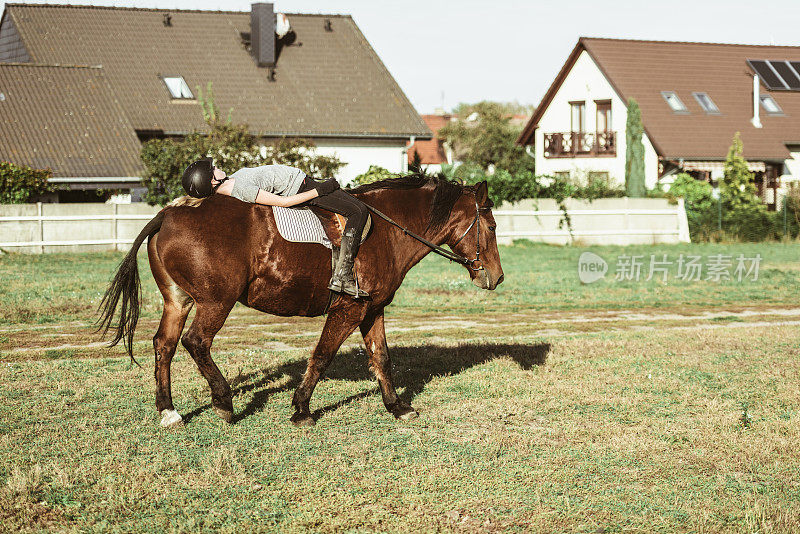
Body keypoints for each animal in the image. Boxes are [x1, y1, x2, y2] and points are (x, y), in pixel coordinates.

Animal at [97, 176, 504, 428]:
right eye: (492, 226)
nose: (497, 277)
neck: (388, 229)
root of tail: (170, 213)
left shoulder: (372, 309)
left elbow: (382, 358)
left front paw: (397, 407)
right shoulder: (349, 309)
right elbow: (322, 356)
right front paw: (302, 409)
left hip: (178, 301)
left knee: (163, 345)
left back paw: (169, 411)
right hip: (216, 301)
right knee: (196, 342)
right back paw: (224, 402)